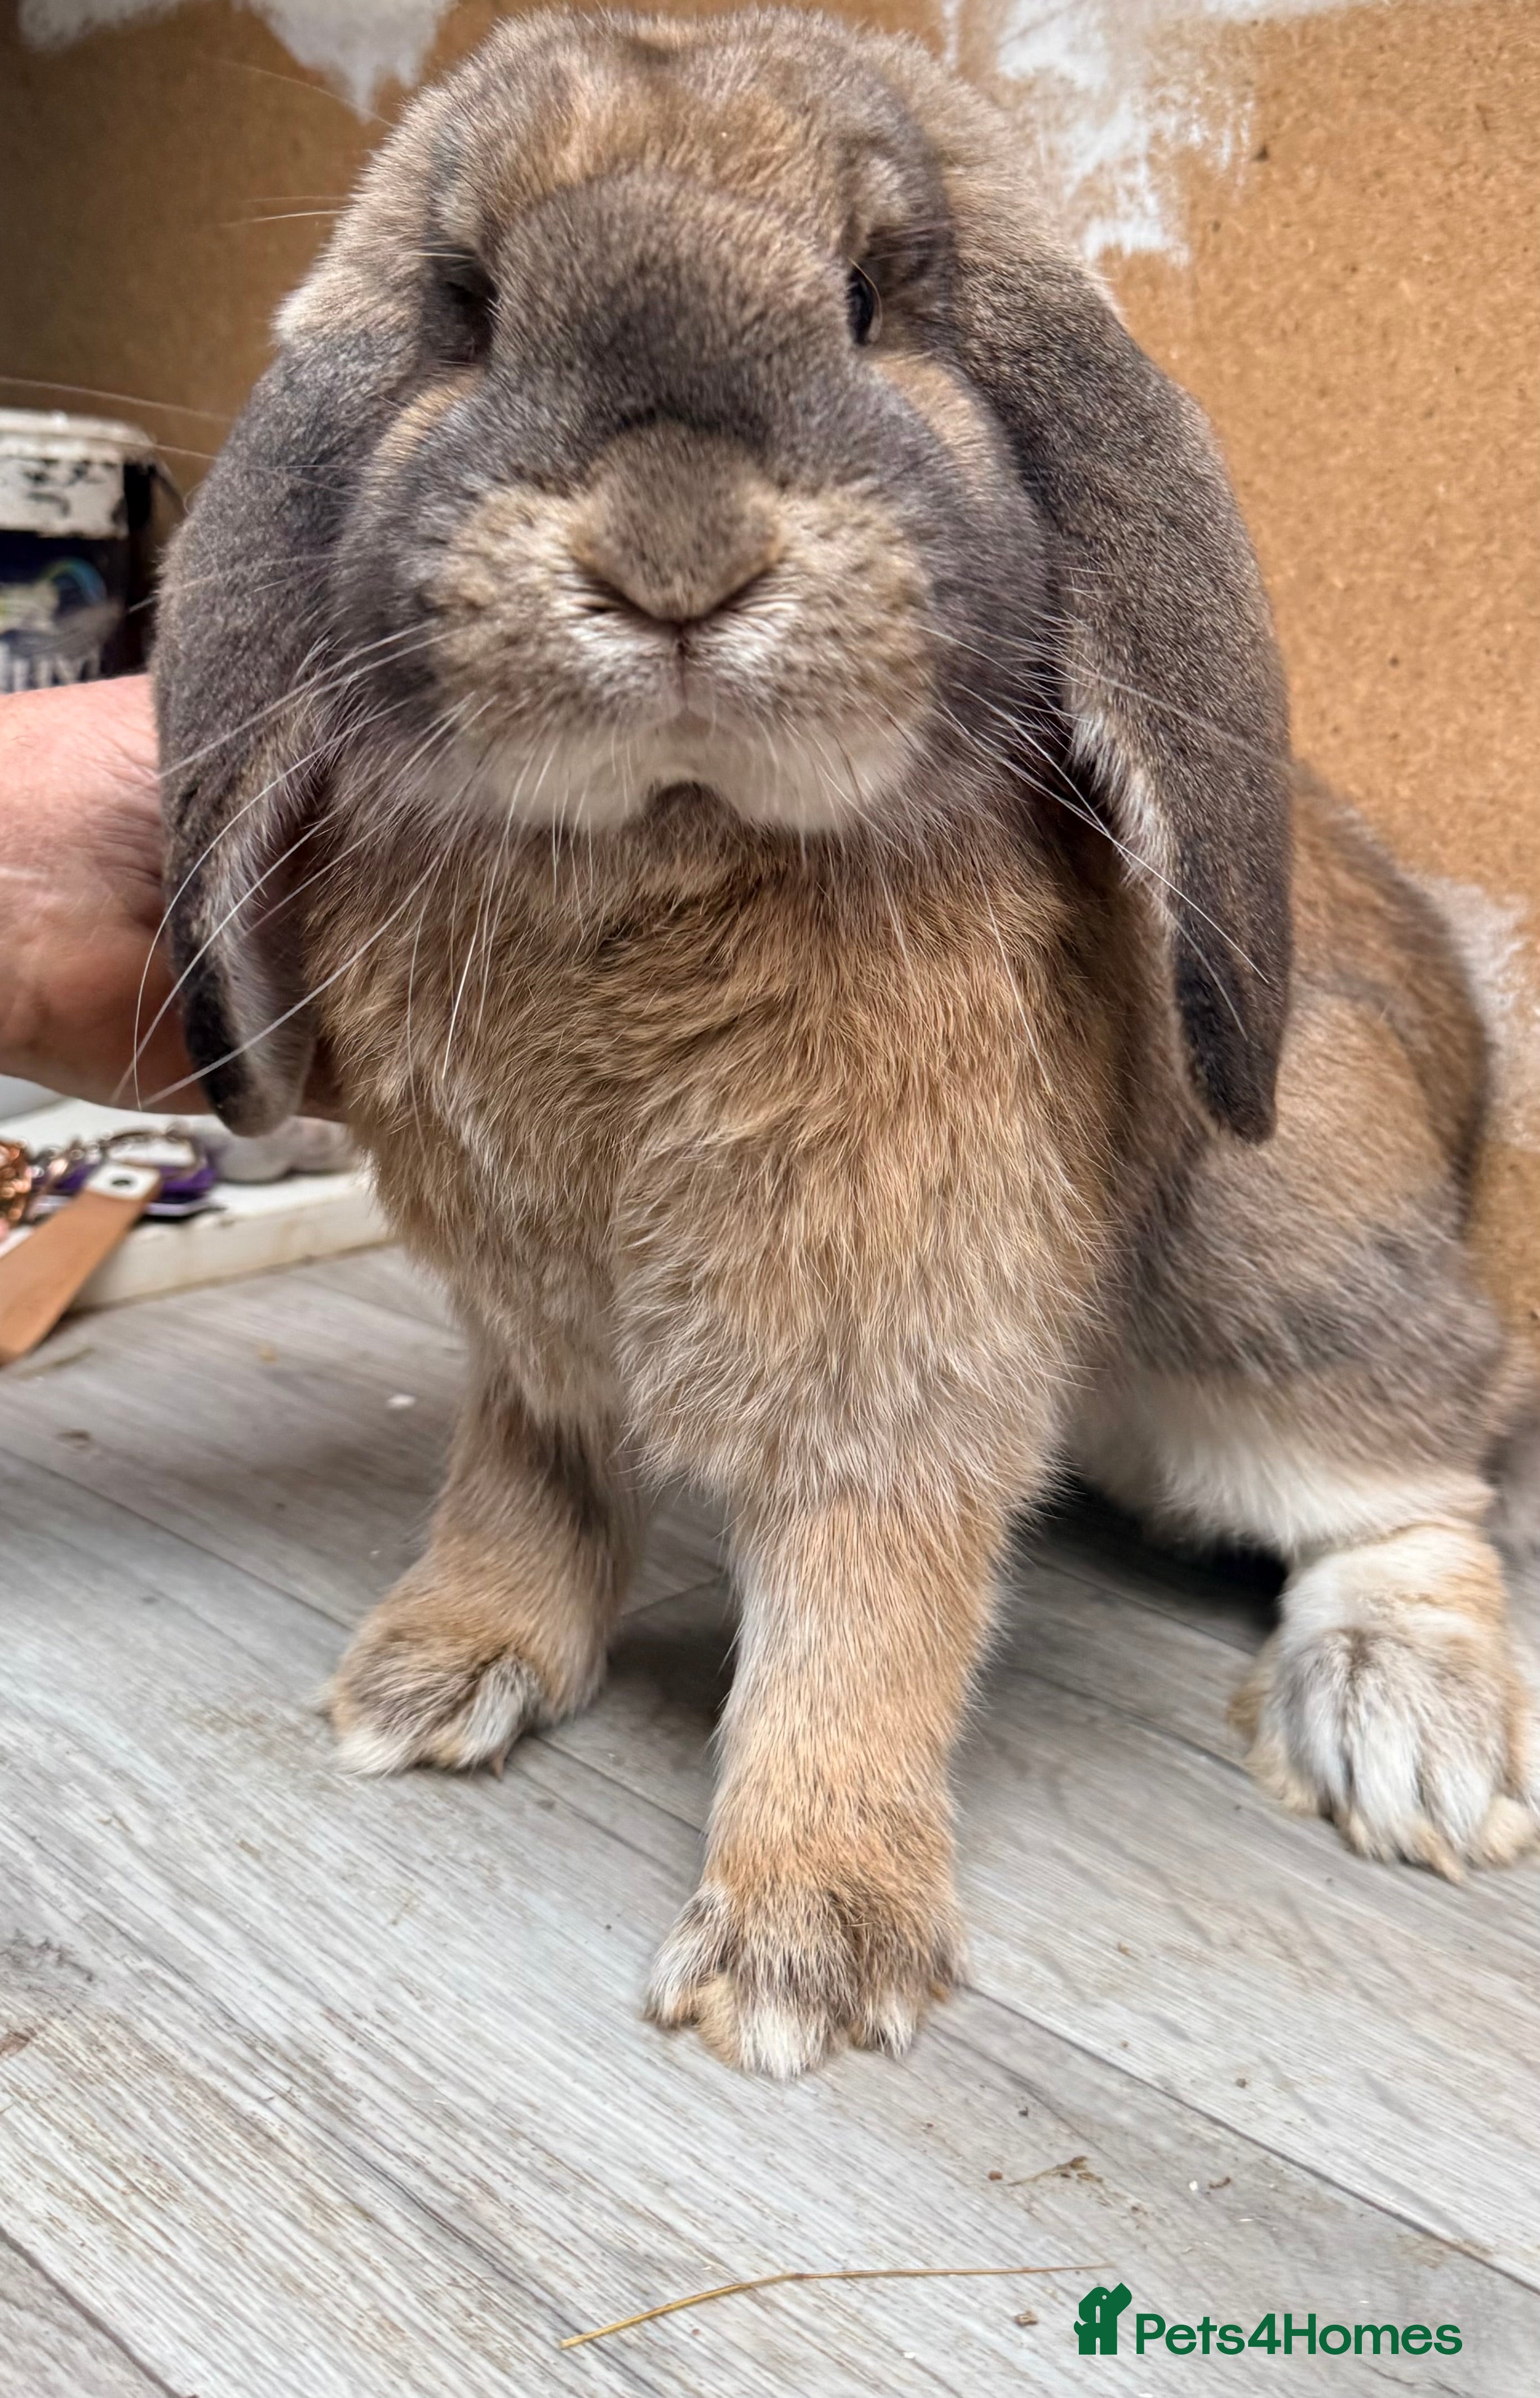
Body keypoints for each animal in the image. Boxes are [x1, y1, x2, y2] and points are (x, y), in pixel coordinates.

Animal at [153, 7, 1539, 2078]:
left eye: (877, 299)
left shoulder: (895, 1356)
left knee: (1425, 1475)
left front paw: (803, 1950)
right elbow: (523, 1485)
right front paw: (429, 1673)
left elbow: (858, 1622)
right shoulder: (531, 1341)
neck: (673, 839)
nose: (675, 555)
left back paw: (1406, 1736)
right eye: (465, 309)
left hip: (1278, 1285)